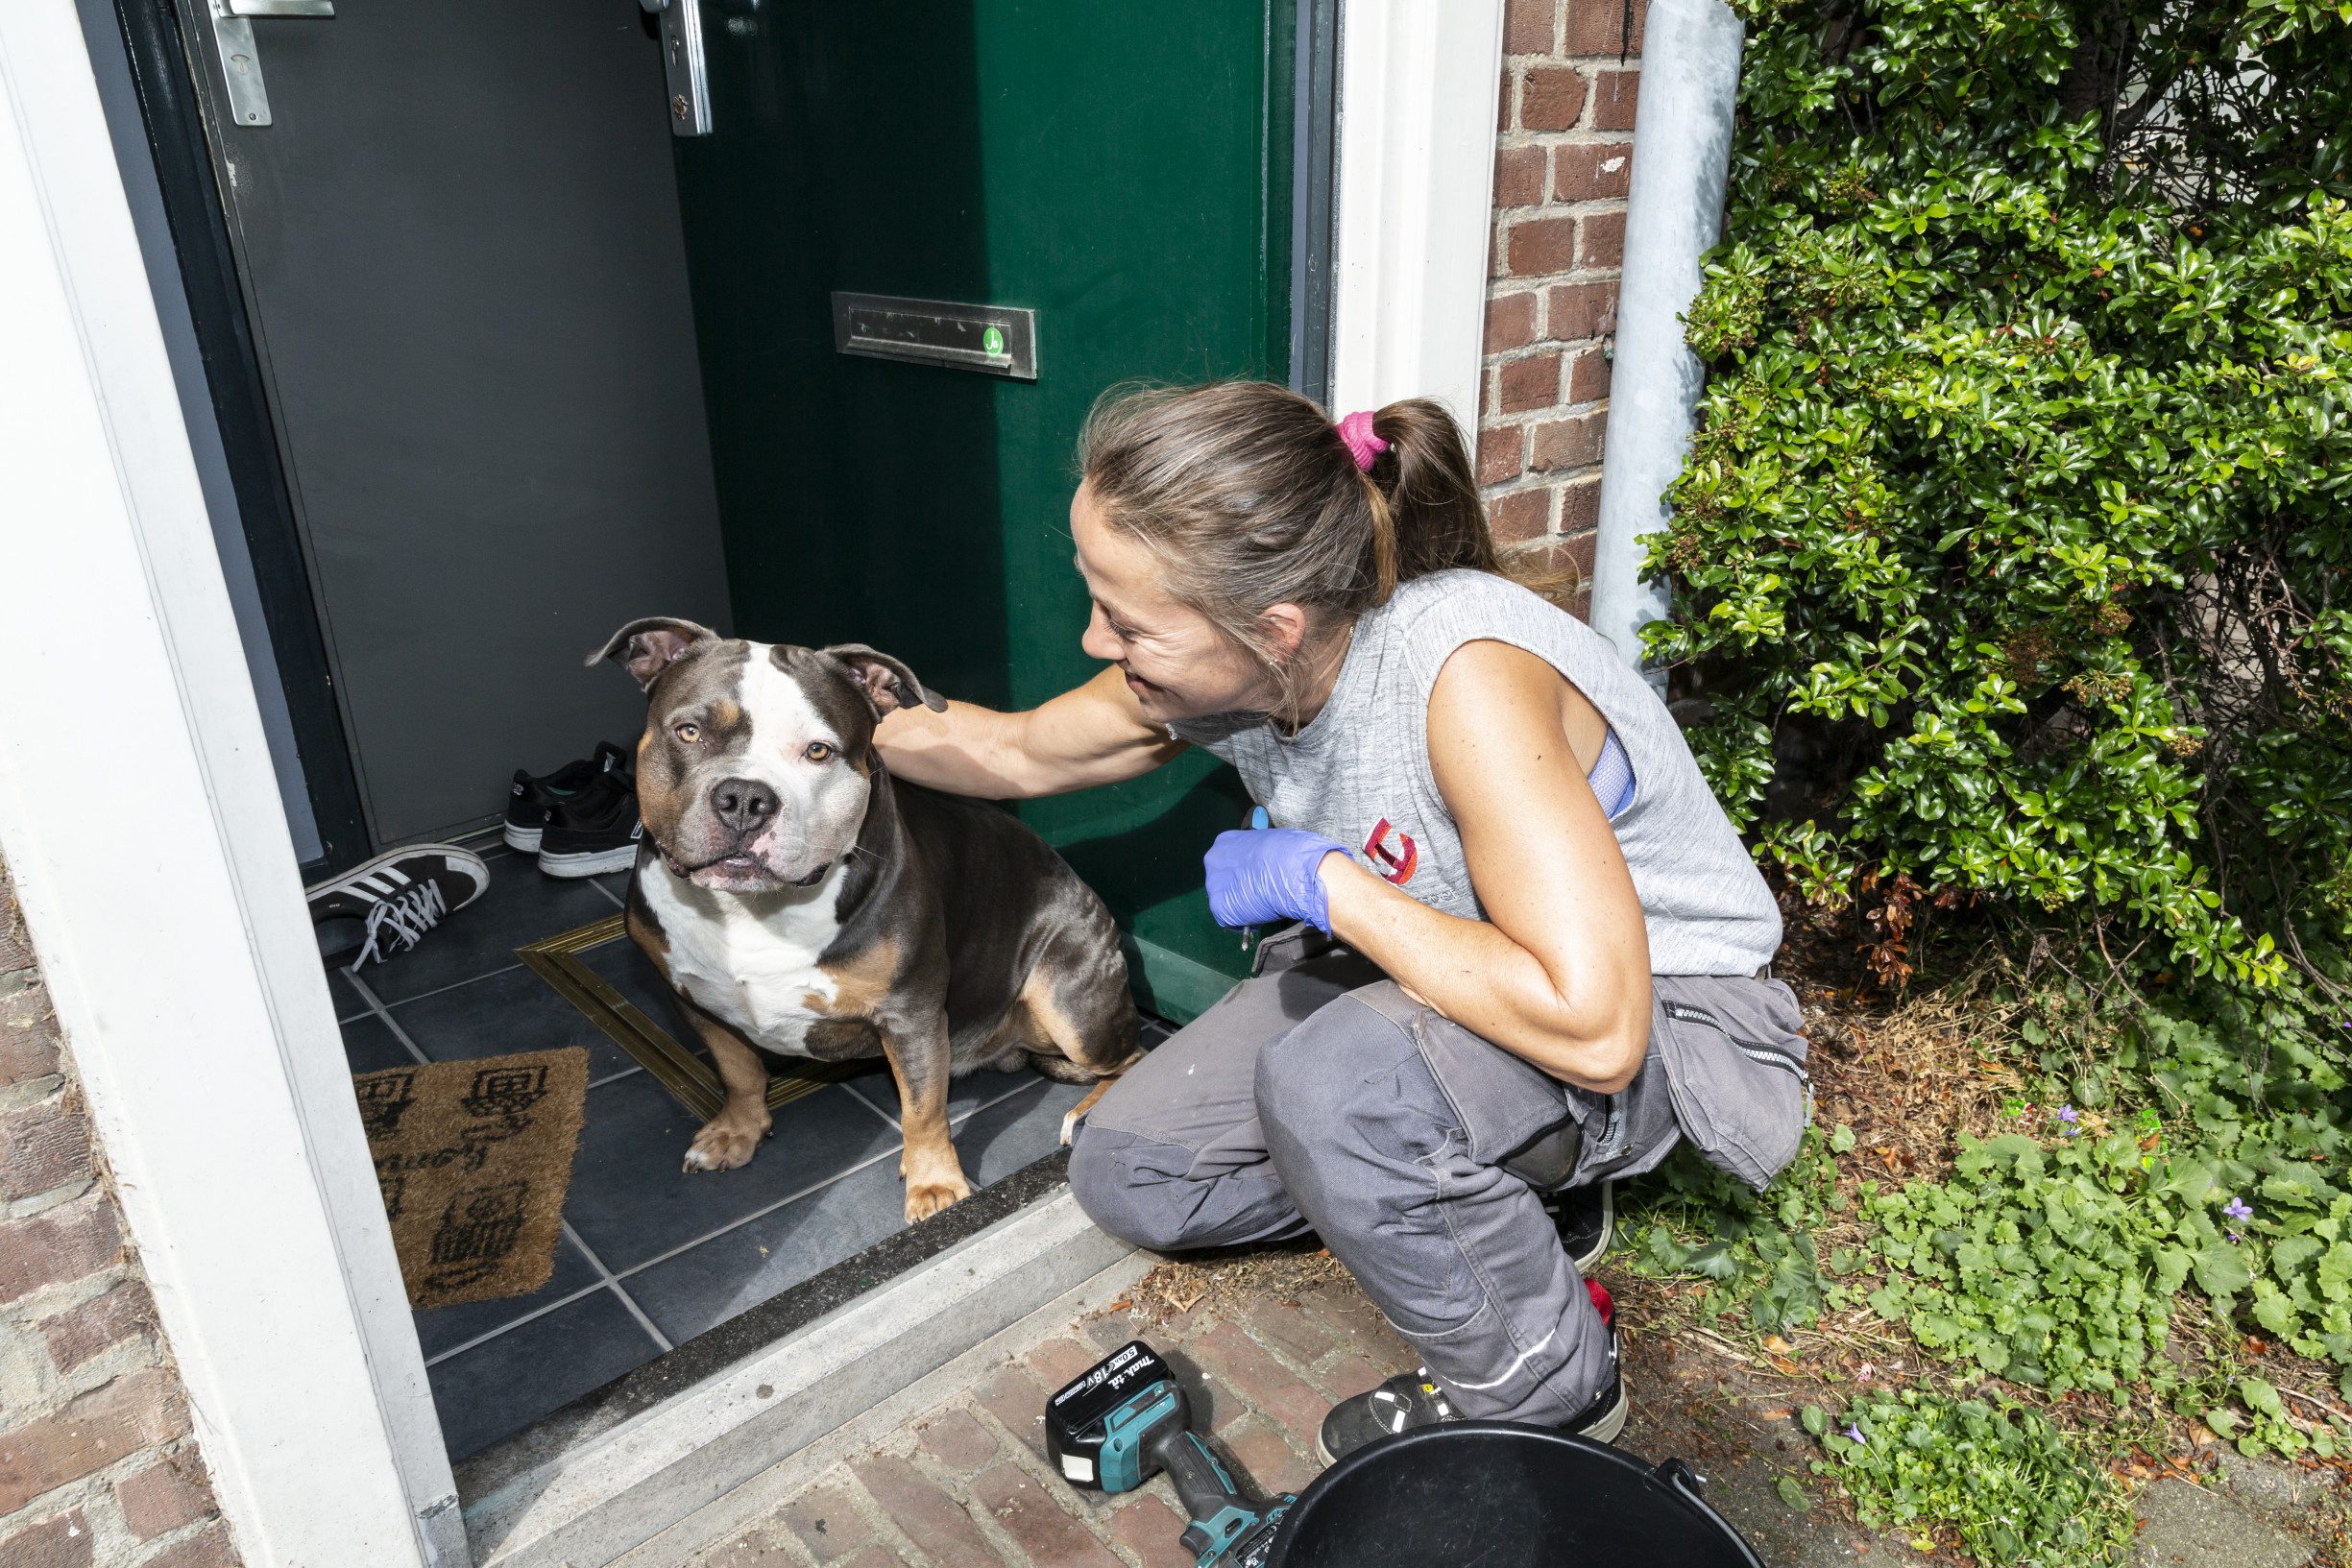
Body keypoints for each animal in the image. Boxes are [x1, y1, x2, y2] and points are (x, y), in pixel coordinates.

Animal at [591, 618, 1143, 1220]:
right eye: (689, 732)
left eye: (818, 750)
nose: (744, 798)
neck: (756, 908)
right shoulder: (692, 999)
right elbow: (737, 1069)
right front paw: (737, 1130)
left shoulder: (911, 1013)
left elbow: (923, 1106)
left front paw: (934, 1187)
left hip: (1069, 1005)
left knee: (1131, 1056)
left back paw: (1089, 1113)